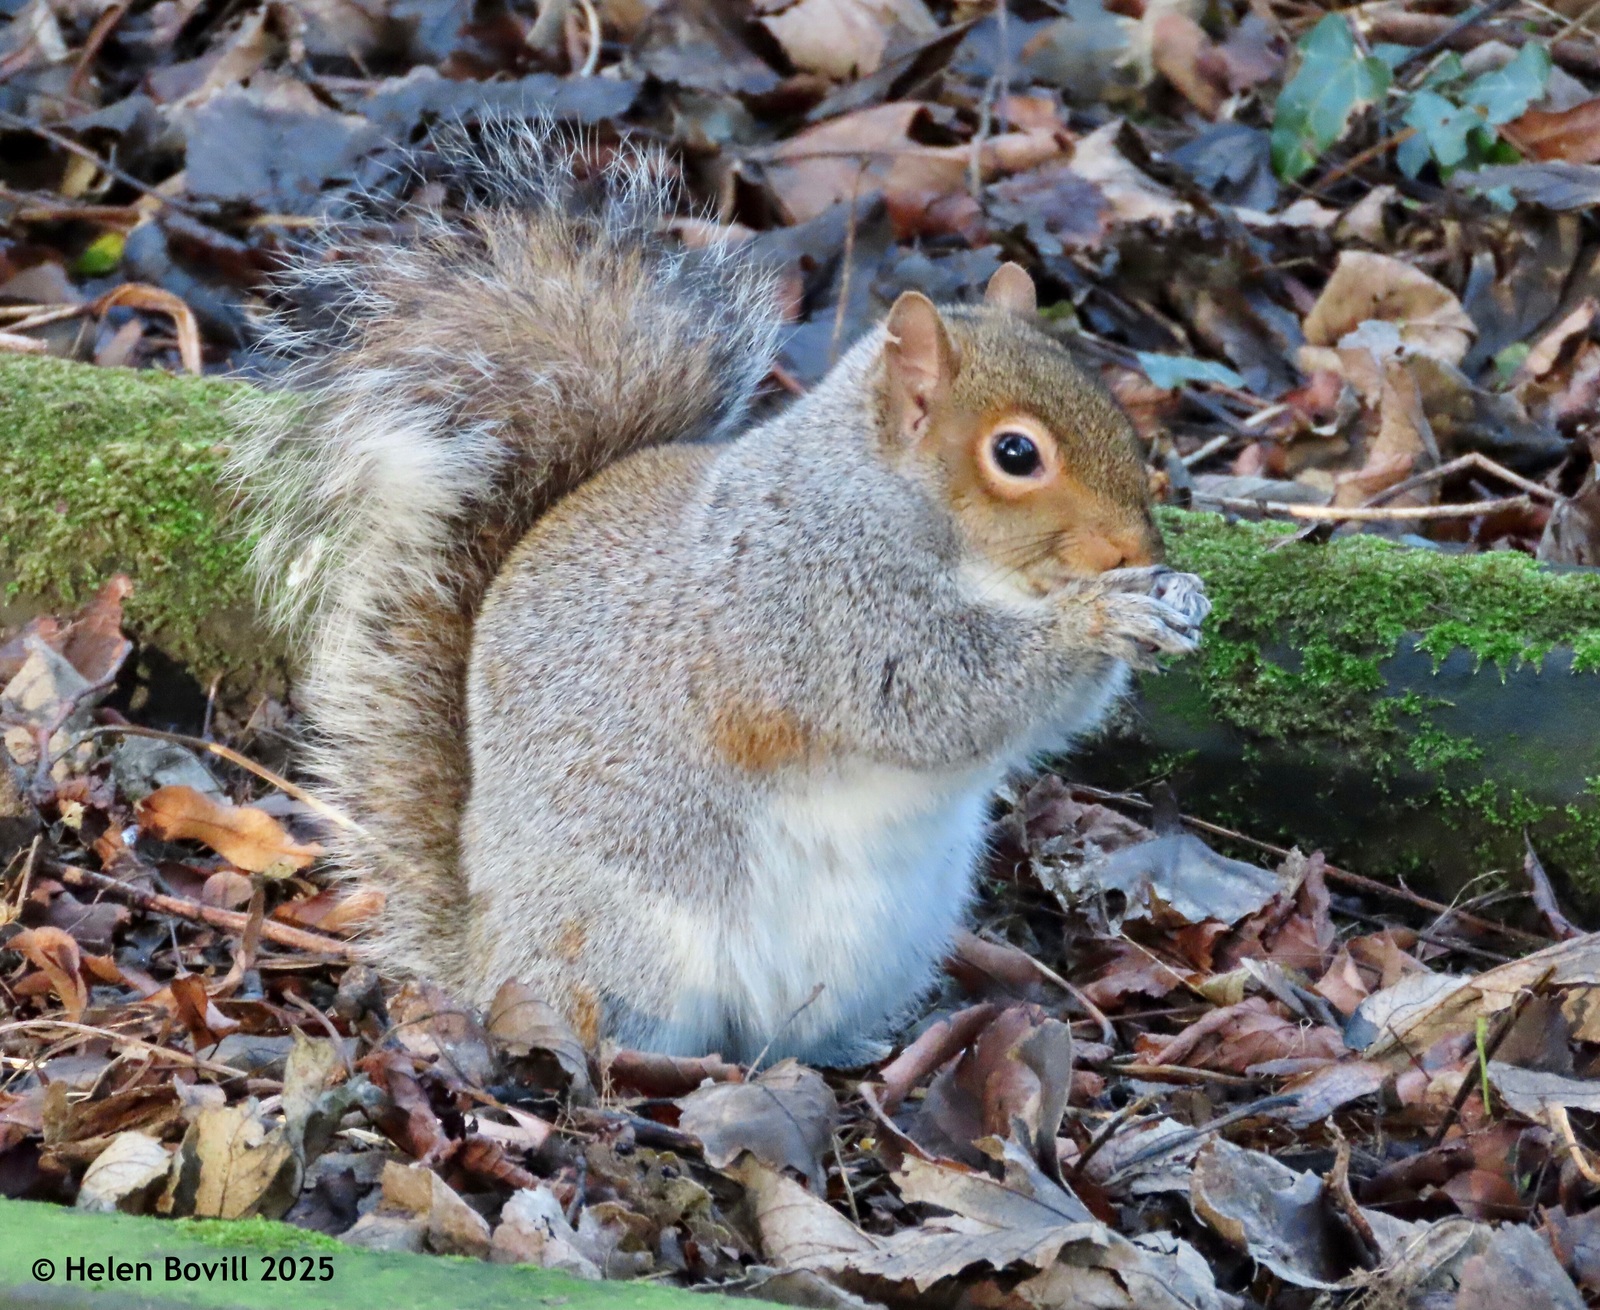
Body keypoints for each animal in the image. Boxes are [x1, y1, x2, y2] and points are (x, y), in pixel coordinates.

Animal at [232, 120, 1203, 1068]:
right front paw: (1103, 615)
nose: (1138, 546)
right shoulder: (811, 604)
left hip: (885, 946)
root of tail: (485, 954)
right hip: (631, 940)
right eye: (1015, 454)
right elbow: (932, 696)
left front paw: (1174, 597)